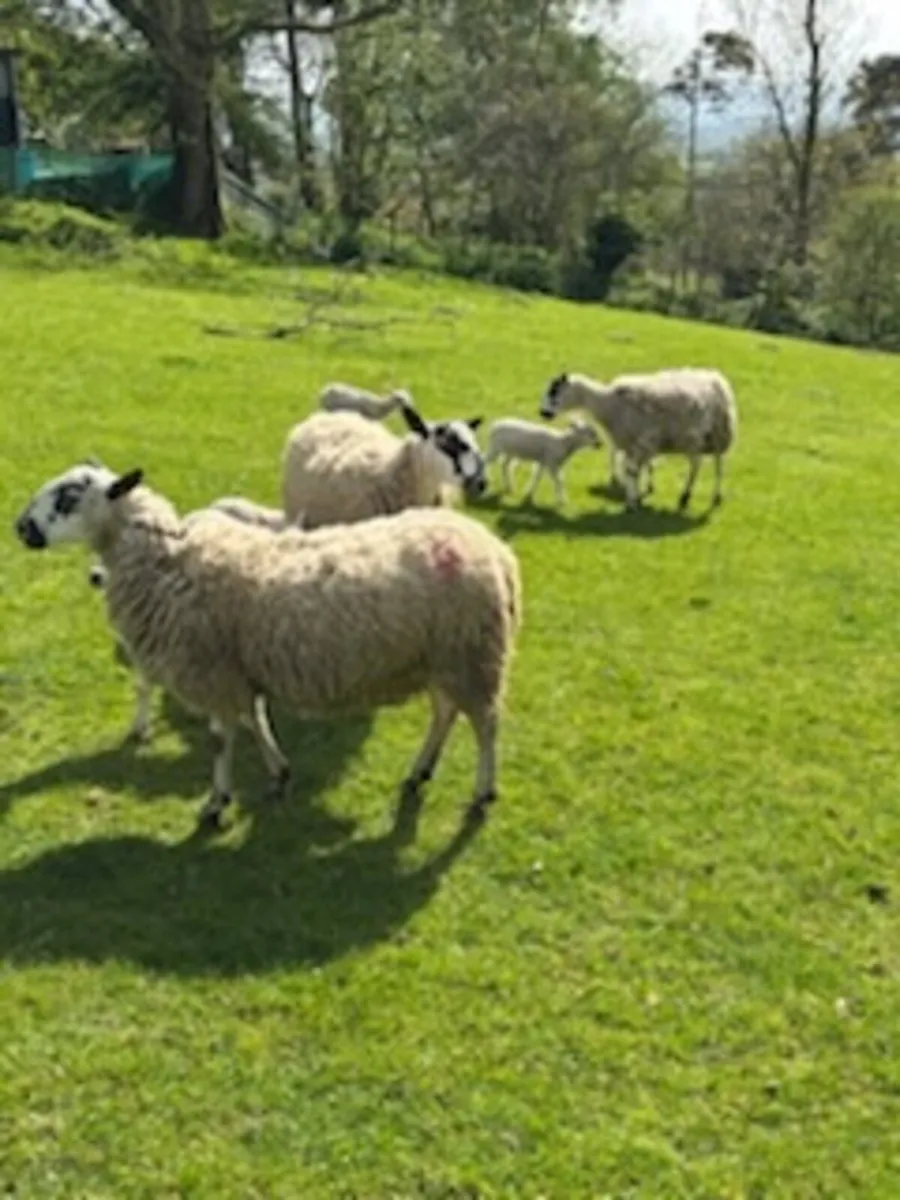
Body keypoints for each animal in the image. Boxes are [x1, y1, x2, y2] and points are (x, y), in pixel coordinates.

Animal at [15, 461, 522, 830]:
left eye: (68, 497)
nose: (21, 527)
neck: (167, 562)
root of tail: (495, 550)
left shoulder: (212, 670)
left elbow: (222, 739)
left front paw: (216, 803)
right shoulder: (237, 669)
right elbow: (254, 719)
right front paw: (278, 771)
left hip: (473, 654)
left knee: (486, 725)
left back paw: (483, 790)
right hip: (443, 657)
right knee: (445, 713)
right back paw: (420, 771)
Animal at [539, 367, 737, 512]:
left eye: (554, 391)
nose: (543, 413)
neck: (608, 404)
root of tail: (715, 376)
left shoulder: (643, 442)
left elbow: (633, 472)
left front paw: (632, 503)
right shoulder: (631, 445)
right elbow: (631, 472)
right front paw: (633, 498)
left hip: (718, 434)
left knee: (719, 466)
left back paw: (715, 497)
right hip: (694, 440)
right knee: (696, 465)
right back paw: (685, 497)